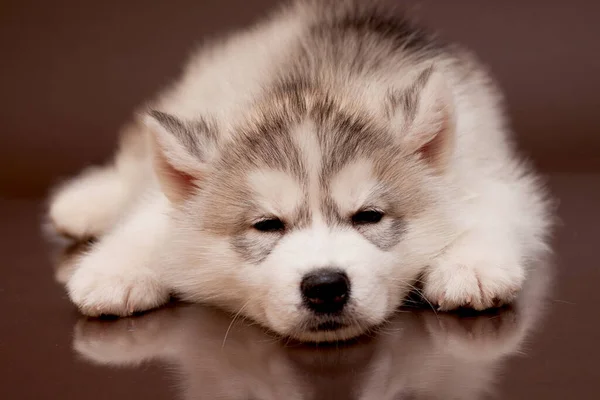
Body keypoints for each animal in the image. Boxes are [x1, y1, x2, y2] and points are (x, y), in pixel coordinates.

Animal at [48, 0, 552, 342]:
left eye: (369, 216)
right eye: (267, 225)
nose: (325, 286)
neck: (316, 86)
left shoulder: (487, 171)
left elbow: (492, 208)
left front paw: (472, 264)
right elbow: (151, 221)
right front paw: (116, 269)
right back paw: (86, 202)